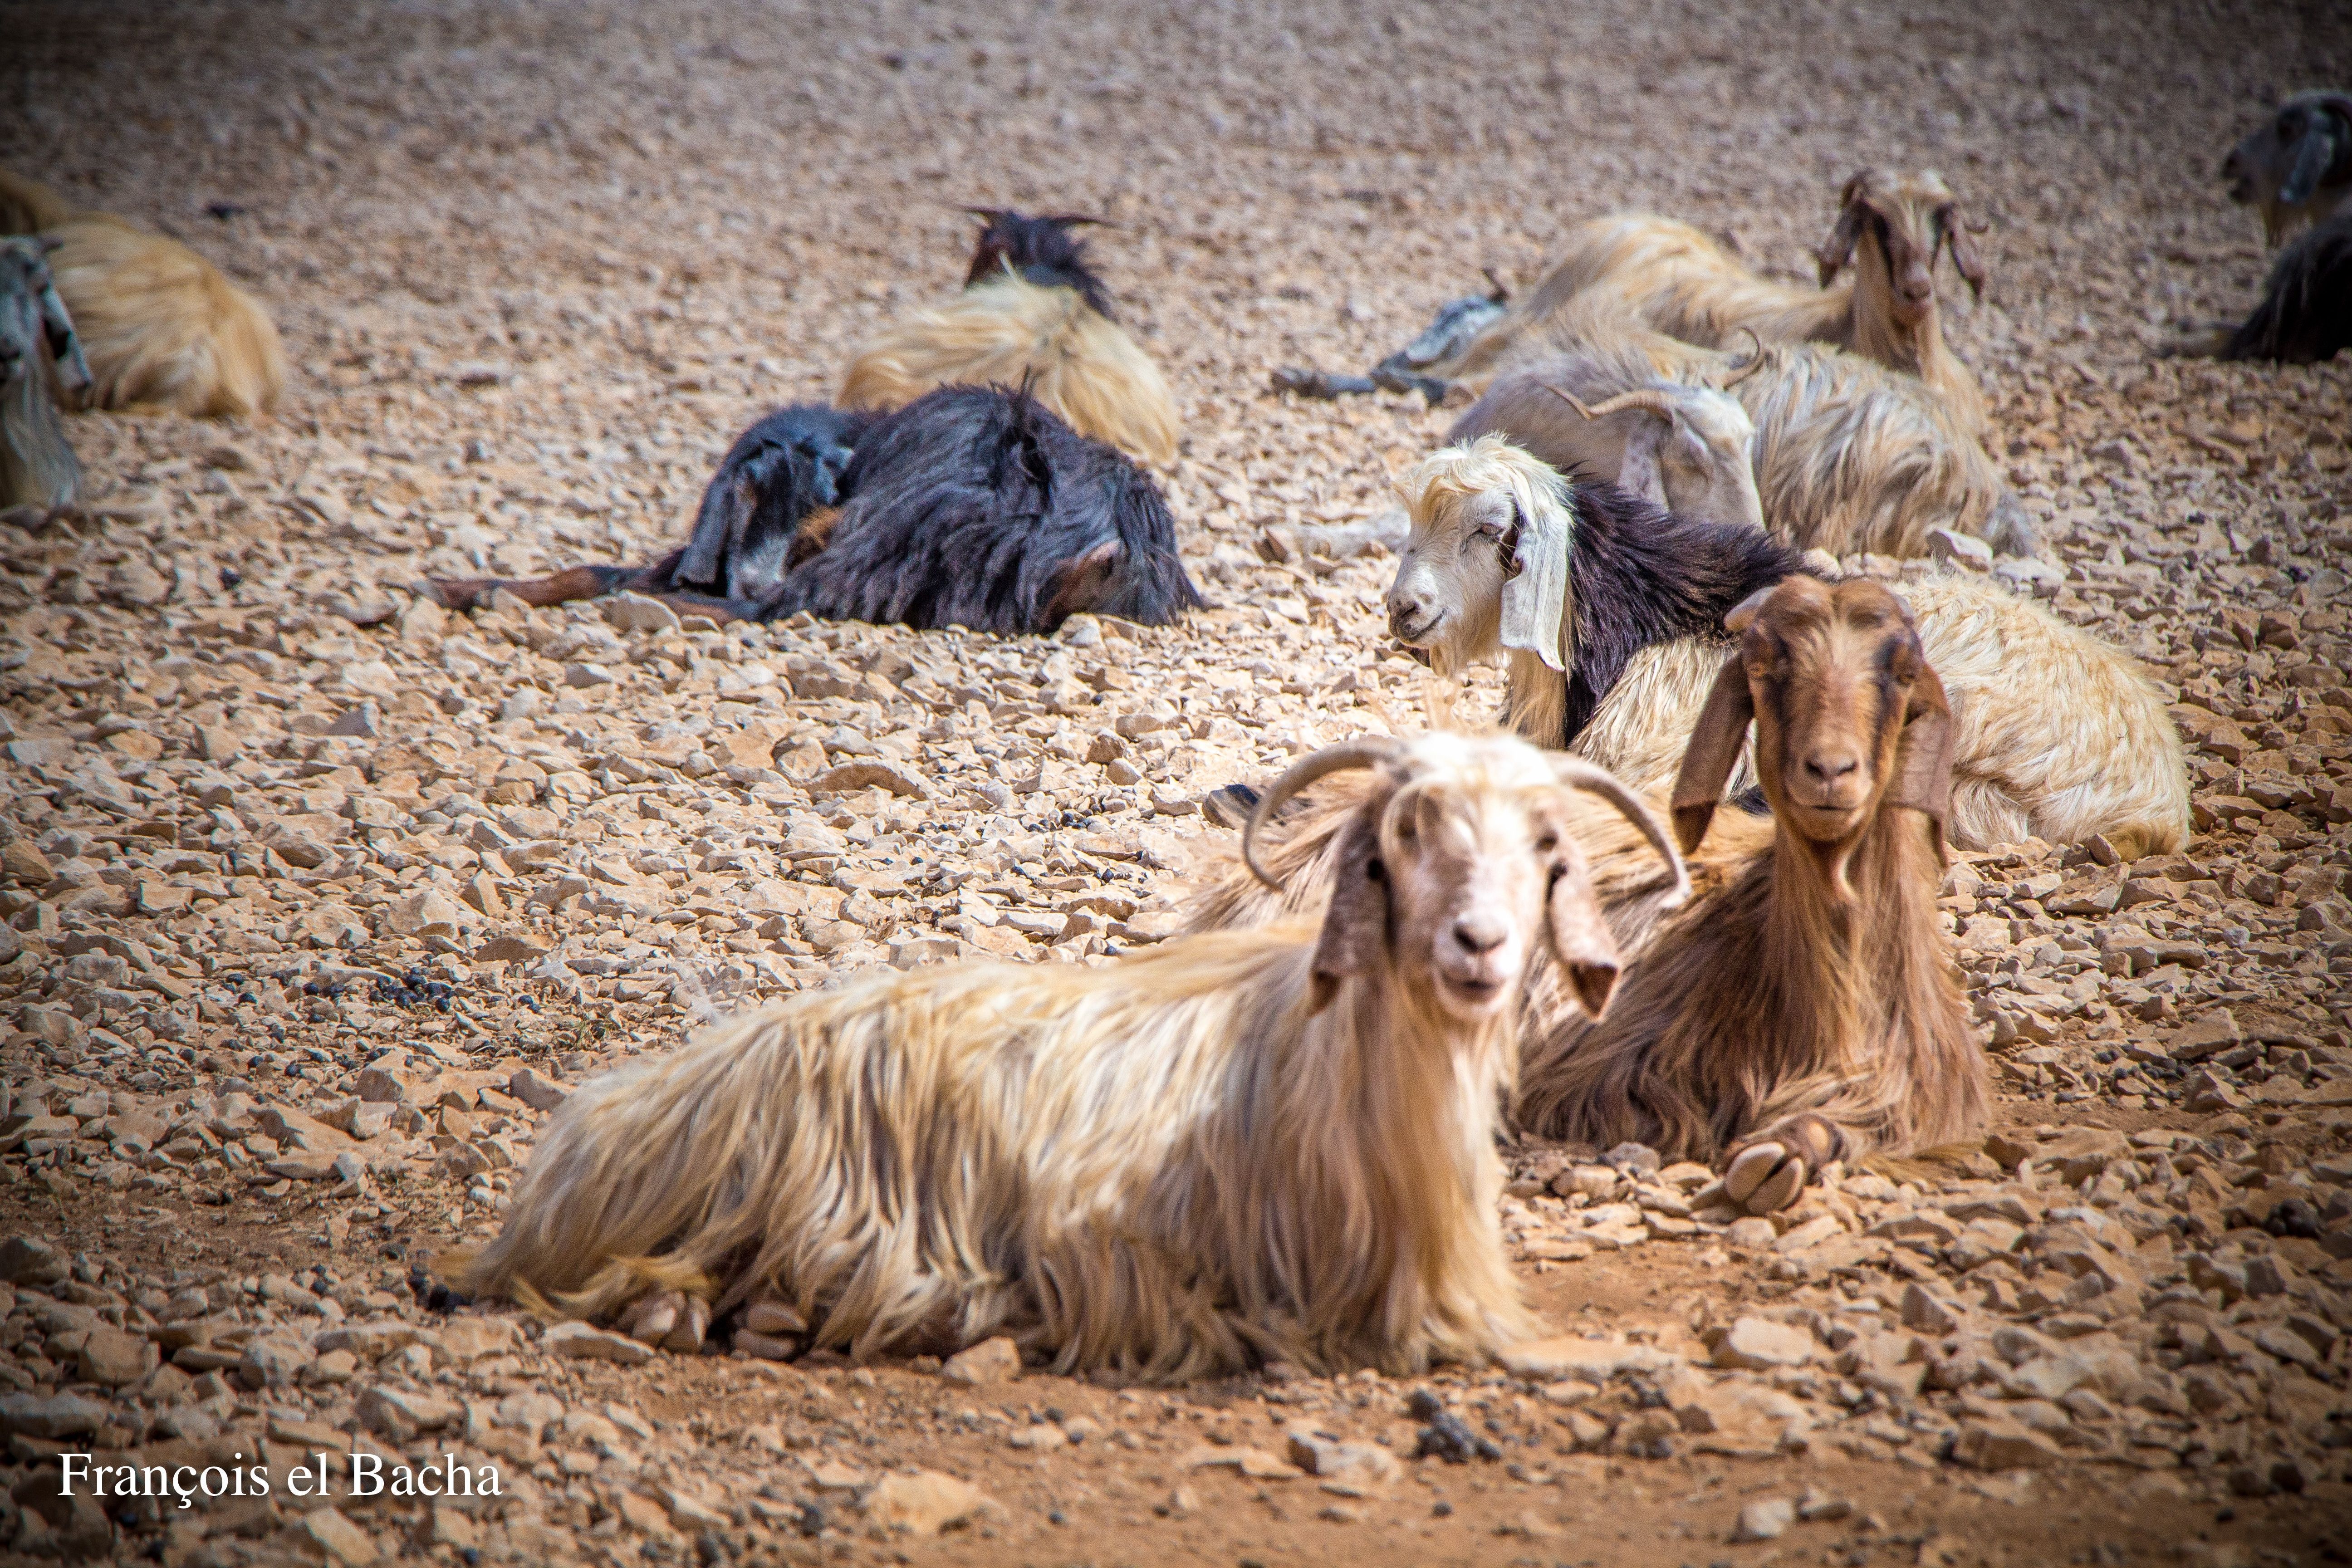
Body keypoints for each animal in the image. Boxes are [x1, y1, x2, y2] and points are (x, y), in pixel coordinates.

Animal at [430, 386, 1203, 636]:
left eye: (820, 499)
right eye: (746, 500)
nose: (753, 572)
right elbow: (597, 568)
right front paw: (465, 587)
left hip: (891, 540)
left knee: (771, 610)